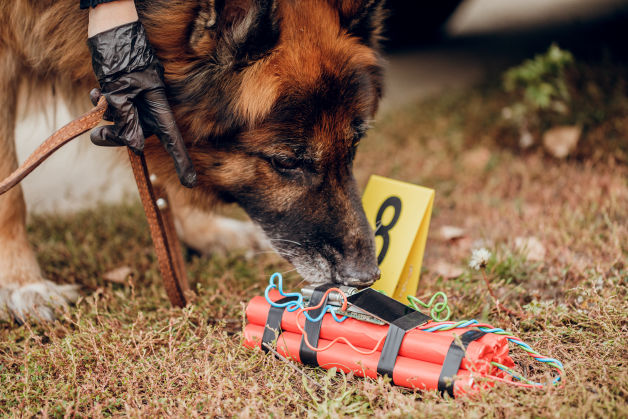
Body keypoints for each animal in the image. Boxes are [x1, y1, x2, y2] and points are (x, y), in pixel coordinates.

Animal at [0, 0, 386, 322]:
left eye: (353, 145)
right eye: (287, 162)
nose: (366, 277)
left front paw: (203, 230)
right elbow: (11, 197)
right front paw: (24, 283)